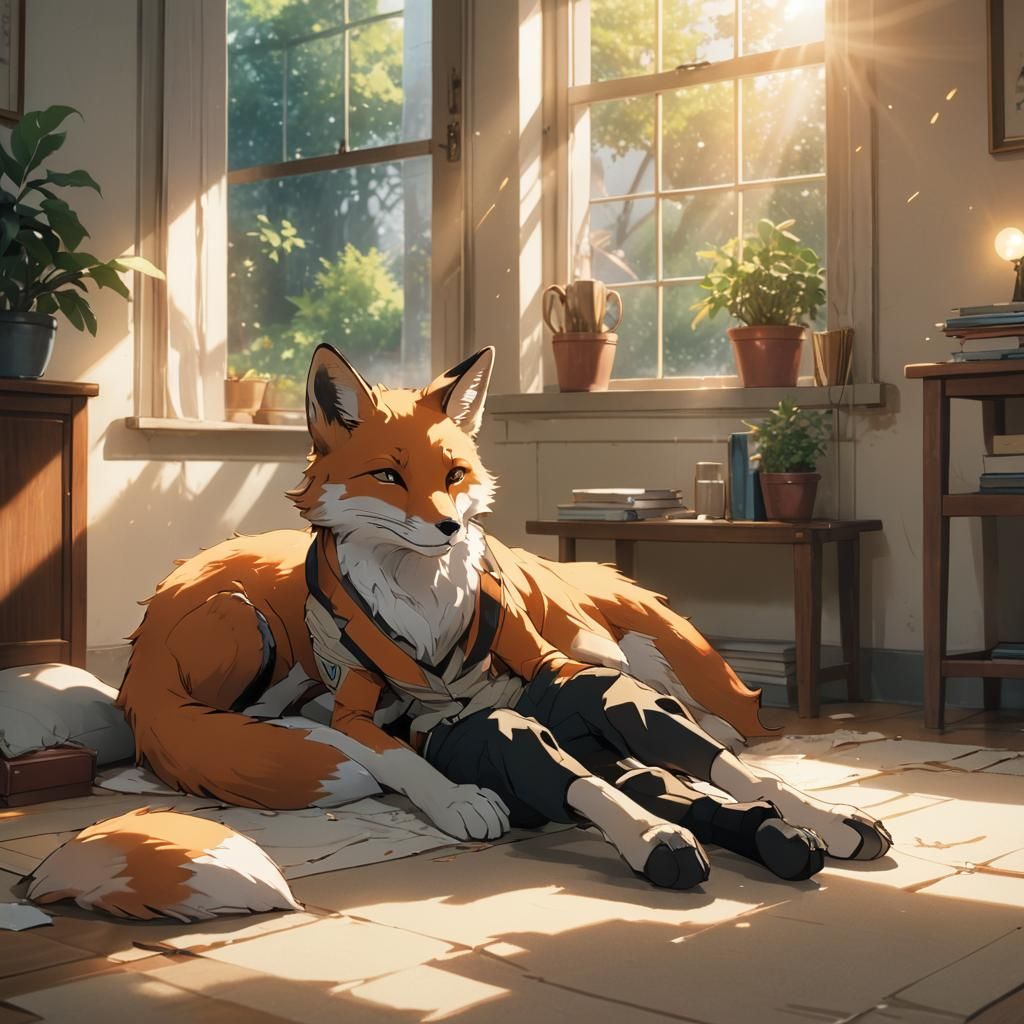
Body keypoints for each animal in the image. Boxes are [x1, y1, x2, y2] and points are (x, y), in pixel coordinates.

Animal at [113, 344, 891, 892]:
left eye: (453, 474)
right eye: (388, 476)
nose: (451, 529)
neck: (422, 596)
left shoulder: (560, 659)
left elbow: (676, 741)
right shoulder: (360, 705)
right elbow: (400, 752)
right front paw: (458, 799)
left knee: (673, 735)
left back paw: (822, 824)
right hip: (244, 619)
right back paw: (663, 841)